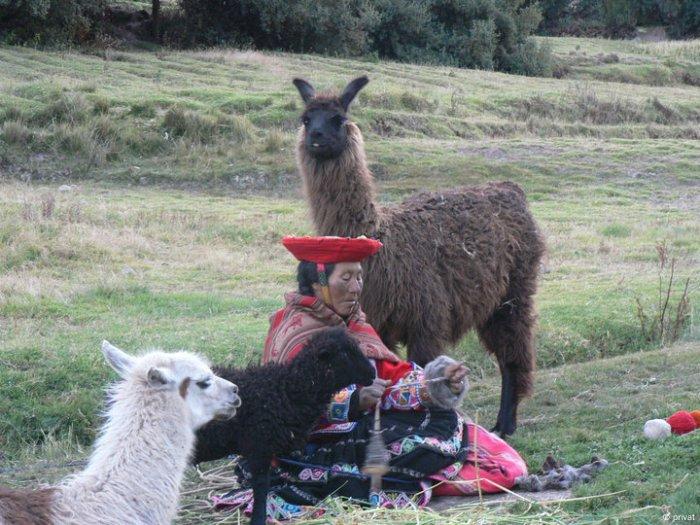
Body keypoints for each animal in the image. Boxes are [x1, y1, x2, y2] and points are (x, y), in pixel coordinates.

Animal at [191, 326, 378, 524]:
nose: (372, 374)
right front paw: (258, 518)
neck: (286, 388)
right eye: (344, 353)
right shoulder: (259, 445)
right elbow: (261, 487)